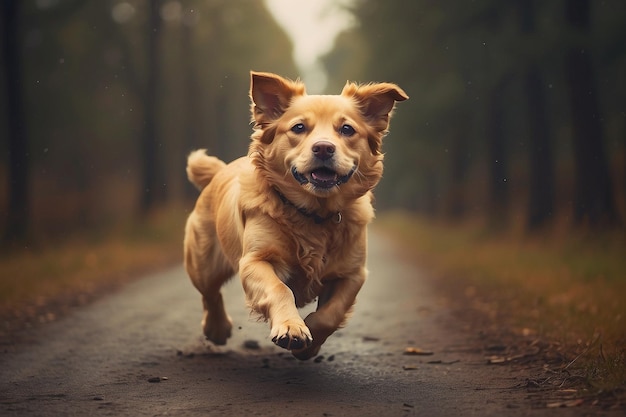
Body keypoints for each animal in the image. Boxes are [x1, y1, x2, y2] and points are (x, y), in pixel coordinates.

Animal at [183, 70, 408, 358]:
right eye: (299, 128)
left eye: (347, 129)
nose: (323, 148)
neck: (314, 213)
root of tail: (220, 170)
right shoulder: (255, 260)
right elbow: (280, 289)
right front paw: (292, 328)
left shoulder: (353, 273)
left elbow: (331, 313)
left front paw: (309, 342)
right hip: (203, 263)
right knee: (210, 293)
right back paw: (217, 328)